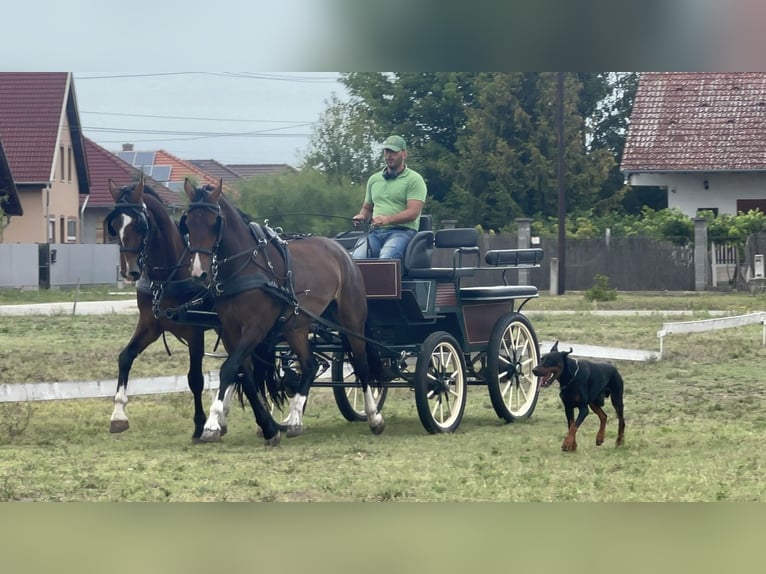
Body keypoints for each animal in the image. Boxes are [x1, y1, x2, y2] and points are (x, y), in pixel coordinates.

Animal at [181, 178, 385, 444]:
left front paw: (213, 423)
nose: (199, 274)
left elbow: (229, 369)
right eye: (188, 224)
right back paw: (295, 419)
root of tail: (341, 250)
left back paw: (374, 417)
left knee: (361, 364)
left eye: (215, 223)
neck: (244, 267)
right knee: (310, 365)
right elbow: (244, 375)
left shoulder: (256, 328)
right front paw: (268, 426)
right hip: (296, 326)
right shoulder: (230, 332)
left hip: (351, 319)